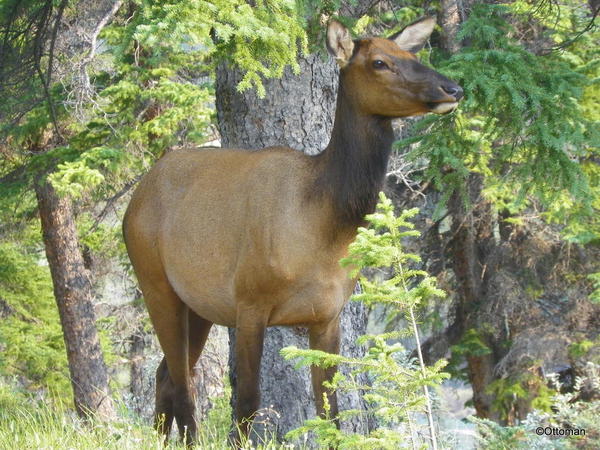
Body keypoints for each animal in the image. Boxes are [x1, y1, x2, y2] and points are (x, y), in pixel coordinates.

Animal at [120, 17, 460, 446]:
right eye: (380, 62)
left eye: (411, 54)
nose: (453, 89)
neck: (326, 230)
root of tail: (139, 193)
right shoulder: (250, 302)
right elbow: (247, 403)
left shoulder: (327, 315)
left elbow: (330, 413)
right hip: (155, 281)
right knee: (183, 386)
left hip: (198, 304)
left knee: (165, 375)